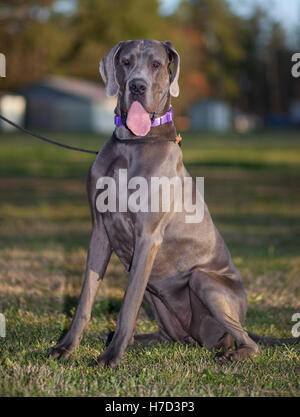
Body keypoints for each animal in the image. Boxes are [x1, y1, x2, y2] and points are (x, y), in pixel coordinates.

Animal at [47, 39, 298, 364]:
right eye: (125, 62)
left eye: (156, 64)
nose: (137, 85)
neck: (133, 143)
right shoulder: (100, 231)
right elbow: (85, 299)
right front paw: (66, 346)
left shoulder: (148, 236)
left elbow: (128, 304)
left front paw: (111, 358)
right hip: (158, 302)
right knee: (165, 336)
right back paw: (127, 339)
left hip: (204, 281)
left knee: (248, 343)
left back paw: (231, 355)